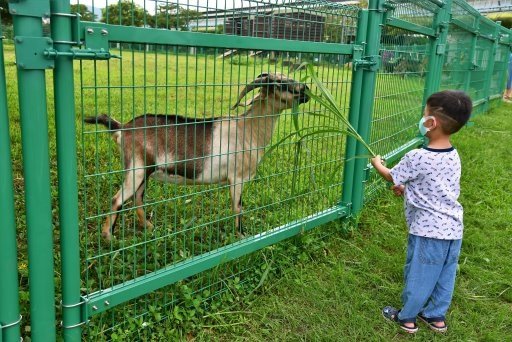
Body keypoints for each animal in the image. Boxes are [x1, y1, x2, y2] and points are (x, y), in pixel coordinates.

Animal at [85, 73, 308, 240]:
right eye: (278, 83)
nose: (305, 89)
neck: (248, 130)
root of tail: (122, 128)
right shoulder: (237, 178)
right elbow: (238, 208)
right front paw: (241, 236)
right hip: (136, 168)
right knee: (117, 199)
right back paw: (109, 238)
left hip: (144, 171)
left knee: (137, 197)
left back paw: (149, 227)